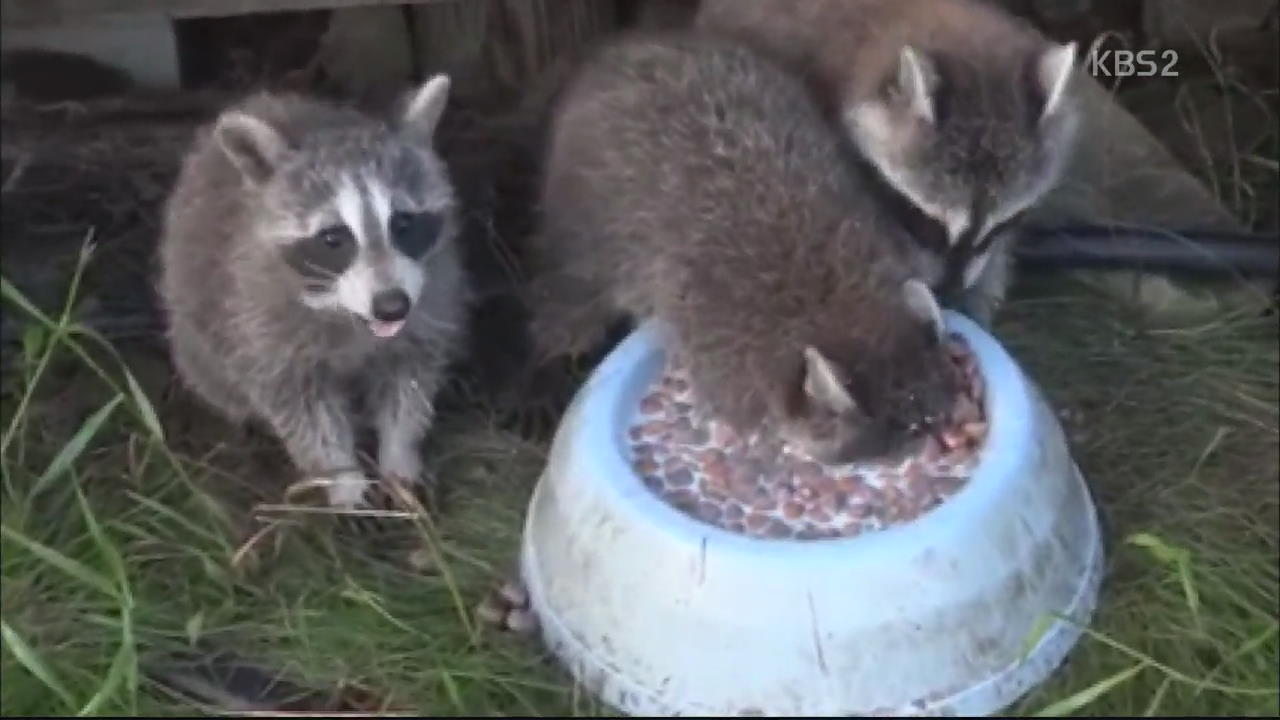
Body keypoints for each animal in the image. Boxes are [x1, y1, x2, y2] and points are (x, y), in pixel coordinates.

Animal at [158, 75, 471, 507]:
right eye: (333, 238)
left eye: (403, 223)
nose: (391, 306)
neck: (348, 313)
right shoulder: (260, 325)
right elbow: (306, 414)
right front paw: (344, 479)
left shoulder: (430, 303)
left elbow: (408, 388)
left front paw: (399, 458)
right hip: (199, 335)